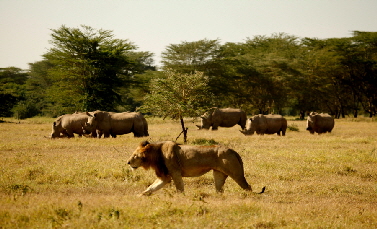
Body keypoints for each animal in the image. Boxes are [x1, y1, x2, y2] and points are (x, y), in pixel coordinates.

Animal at [126, 140, 264, 196]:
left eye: (135, 155)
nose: (128, 162)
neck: (156, 154)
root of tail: (232, 150)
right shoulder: (164, 177)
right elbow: (150, 188)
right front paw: (139, 196)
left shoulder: (175, 173)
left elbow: (179, 188)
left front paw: (180, 199)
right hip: (218, 174)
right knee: (220, 190)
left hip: (236, 173)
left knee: (248, 187)